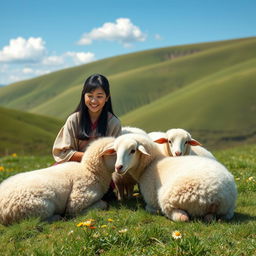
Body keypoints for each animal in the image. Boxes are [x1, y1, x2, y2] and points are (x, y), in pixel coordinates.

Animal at [109, 134, 237, 222]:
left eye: (133, 150)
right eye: (115, 151)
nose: (118, 167)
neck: (151, 163)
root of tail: (216, 196)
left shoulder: (151, 197)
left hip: (169, 197)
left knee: (182, 217)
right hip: (228, 210)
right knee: (214, 217)